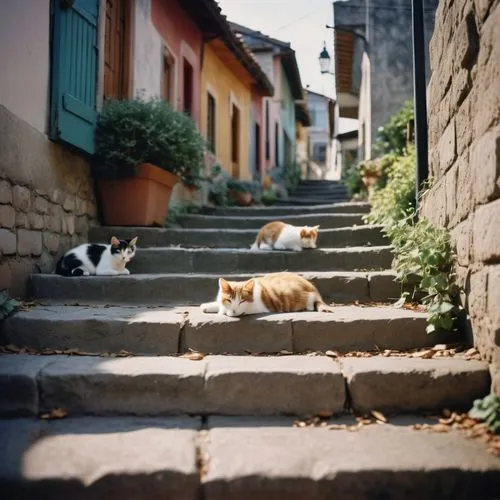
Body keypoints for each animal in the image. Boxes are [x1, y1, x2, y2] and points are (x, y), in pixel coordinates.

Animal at [198, 274, 332, 316]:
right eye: (229, 300)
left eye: (242, 301)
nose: (234, 311)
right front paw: (208, 306)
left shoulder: (259, 307)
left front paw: (226, 312)